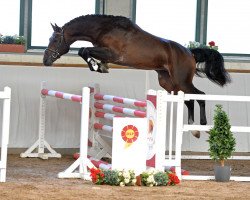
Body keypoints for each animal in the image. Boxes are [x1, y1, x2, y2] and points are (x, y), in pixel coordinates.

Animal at [43, 13, 230, 136]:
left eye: (55, 40)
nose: (45, 60)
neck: (104, 28)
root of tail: (190, 53)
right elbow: (84, 51)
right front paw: (99, 66)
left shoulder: (113, 54)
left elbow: (84, 49)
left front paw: (97, 66)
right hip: (169, 83)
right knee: (188, 100)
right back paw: (193, 129)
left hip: (181, 81)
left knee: (200, 96)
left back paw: (202, 126)